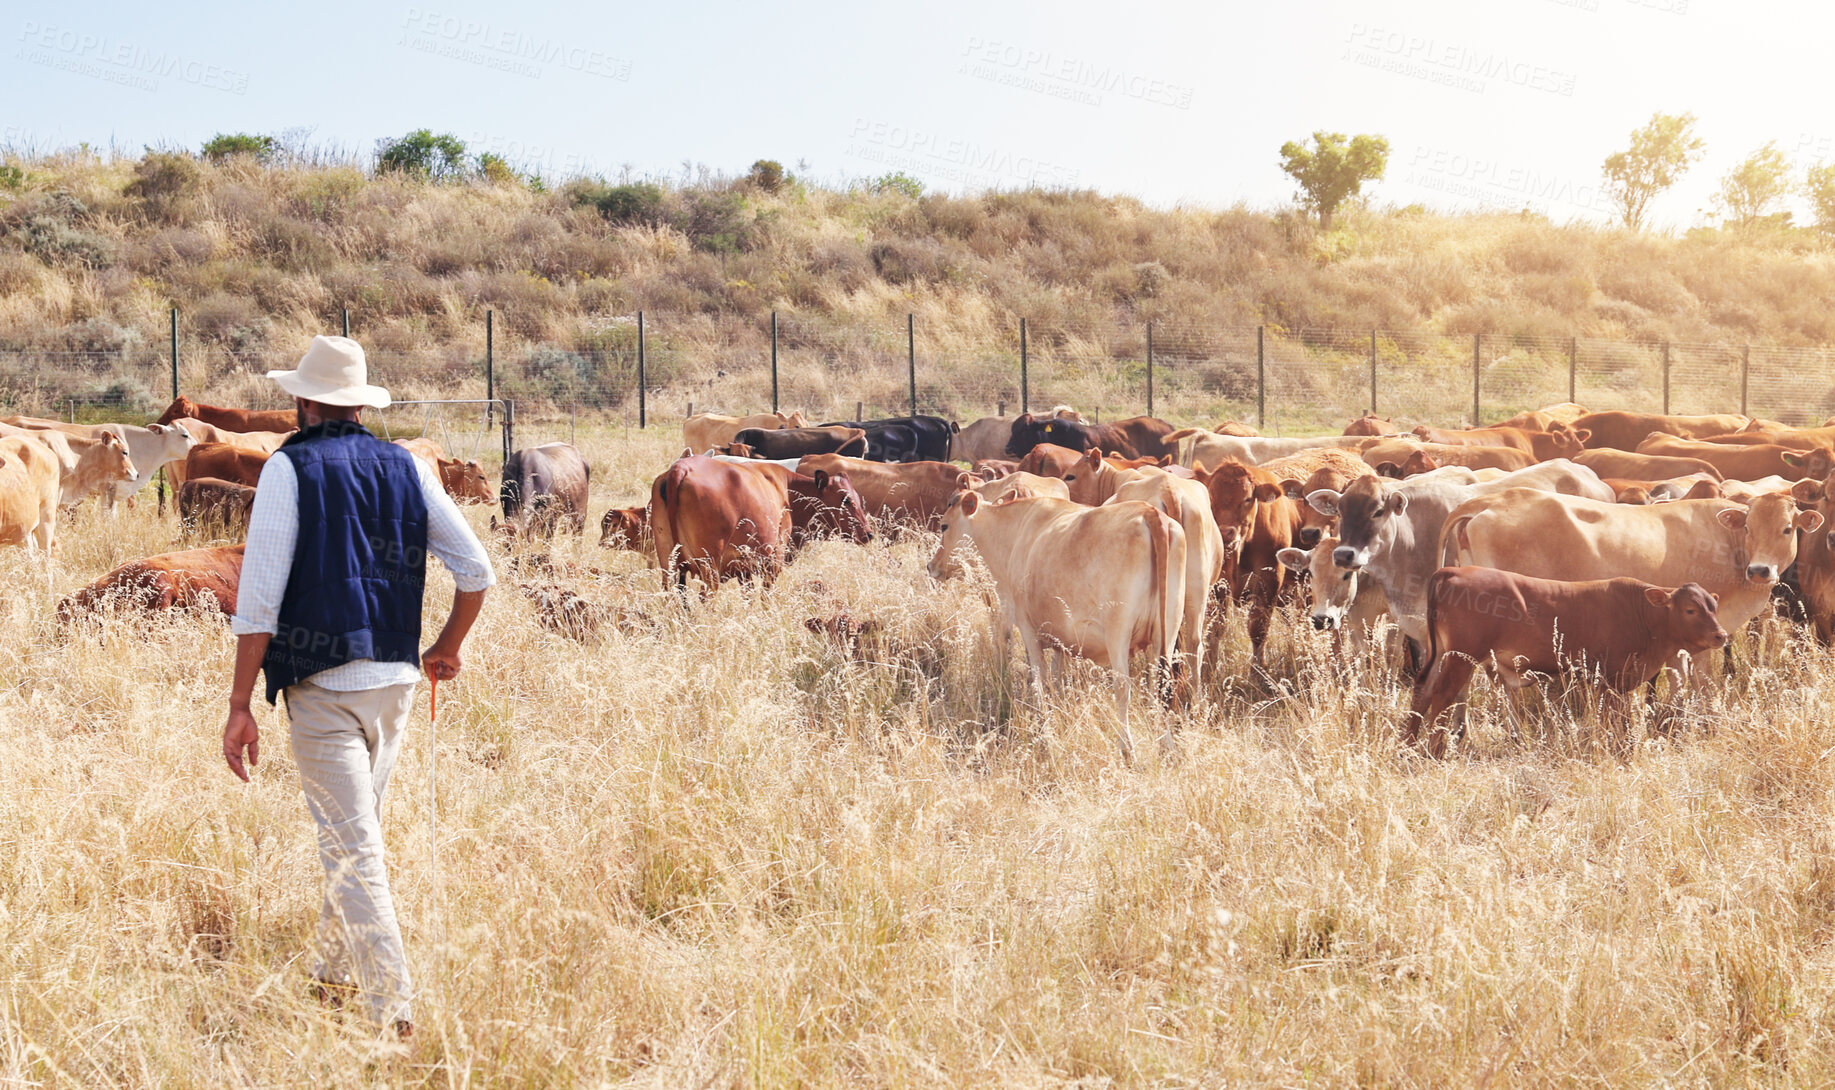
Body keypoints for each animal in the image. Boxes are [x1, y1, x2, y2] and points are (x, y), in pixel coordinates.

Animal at [924, 488, 1181, 759]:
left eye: (944, 526)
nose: (931, 565)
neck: (1013, 536)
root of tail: (1149, 512)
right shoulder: (1062, 639)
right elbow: (1057, 682)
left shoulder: (1028, 629)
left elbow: (1039, 682)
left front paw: (1044, 732)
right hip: (1166, 634)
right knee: (1160, 688)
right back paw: (1168, 747)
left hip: (1118, 633)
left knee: (1123, 688)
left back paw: (1127, 749)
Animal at [1409, 568, 1724, 756]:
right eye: (1690, 609)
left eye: (1714, 607)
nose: (1720, 635)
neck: (1642, 615)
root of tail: (1453, 571)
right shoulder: (1612, 680)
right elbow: (1618, 719)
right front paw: (1622, 750)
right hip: (1461, 657)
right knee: (1442, 696)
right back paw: (1433, 750)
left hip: (1440, 654)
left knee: (1423, 691)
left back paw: (1408, 743)